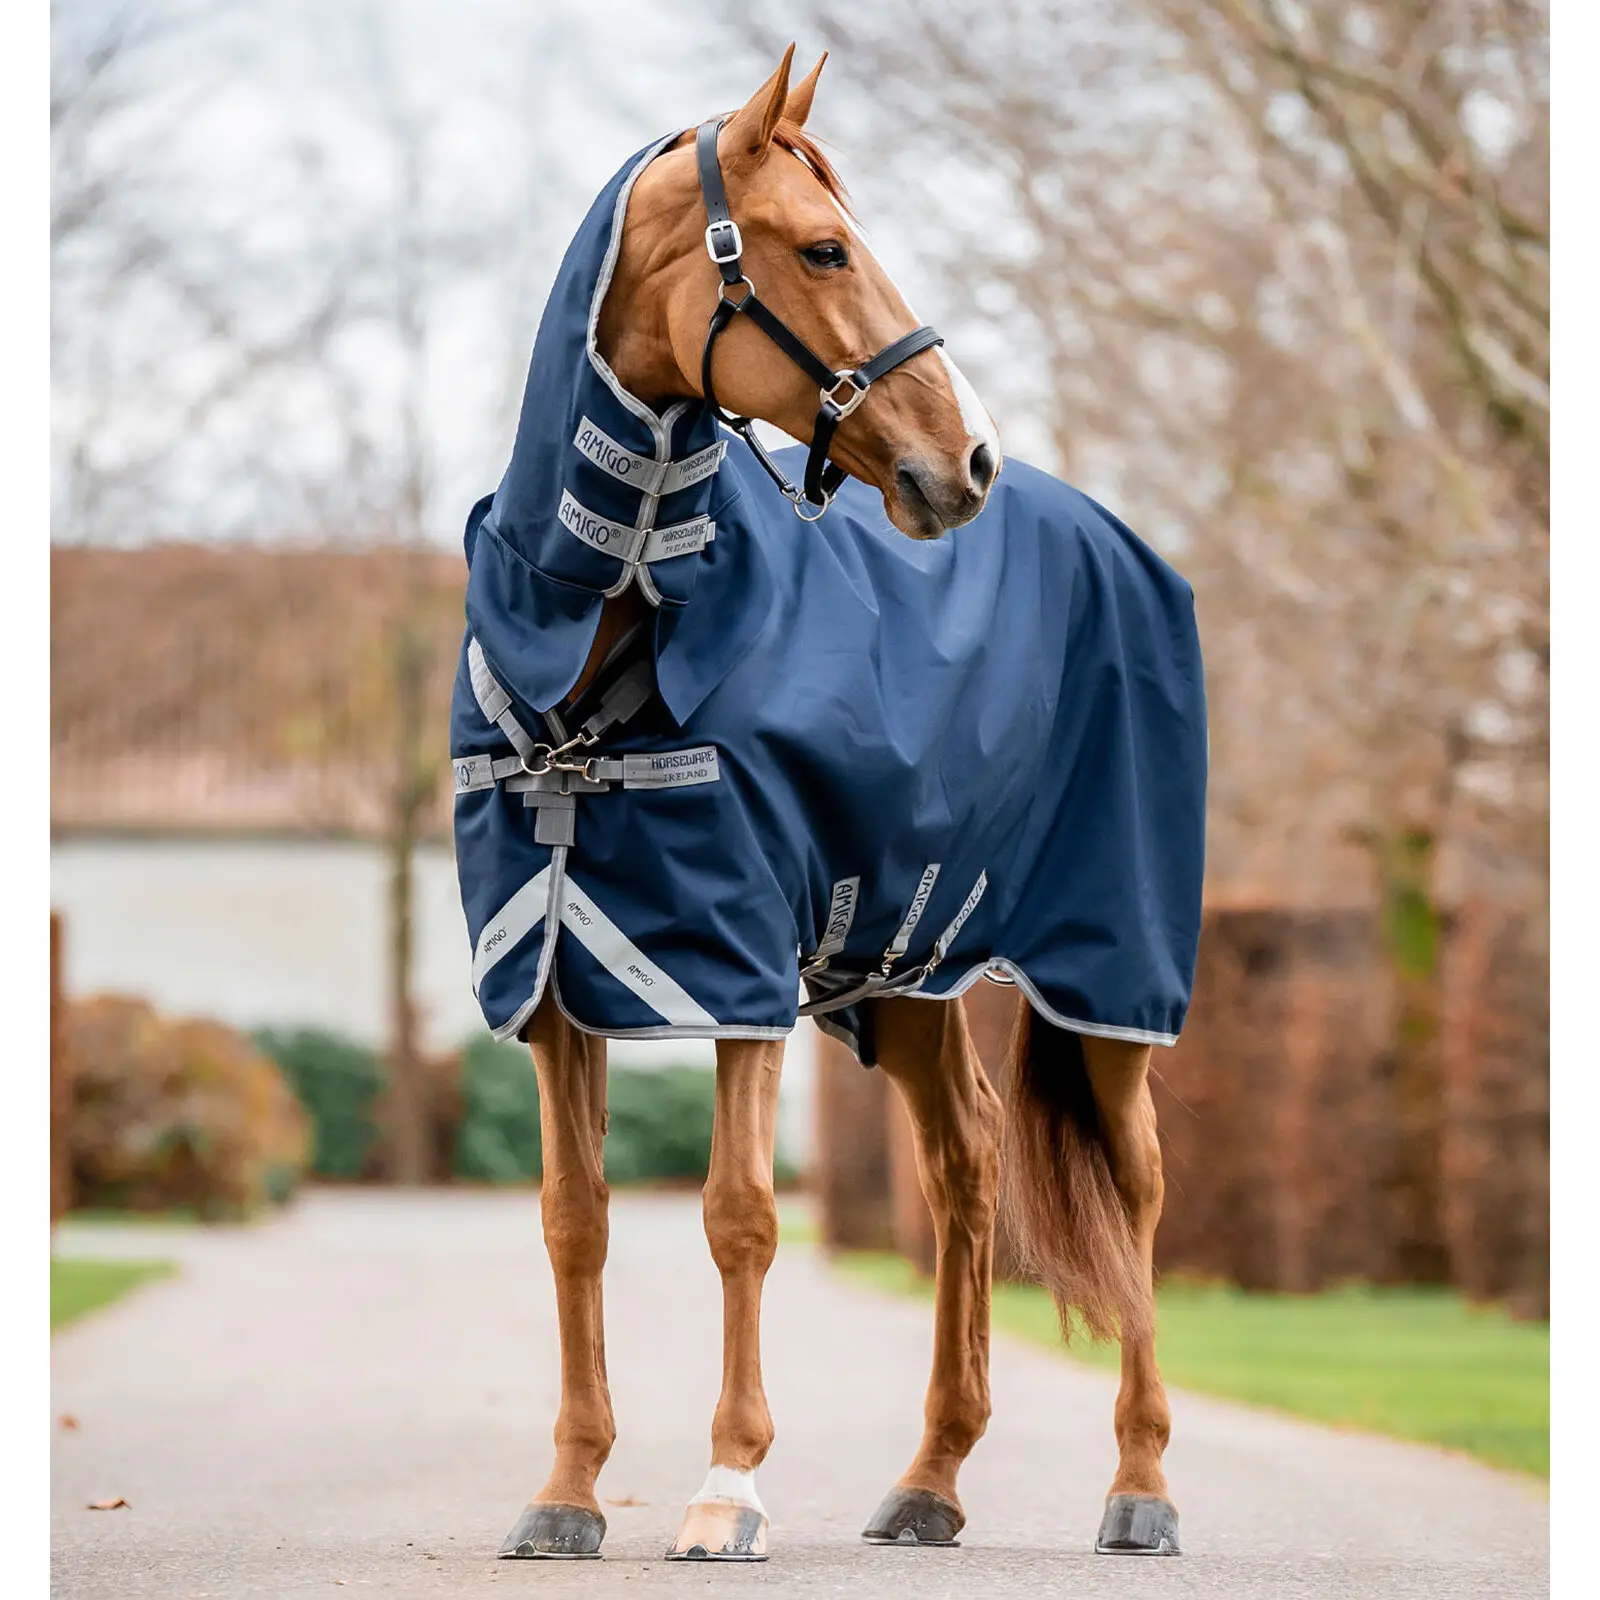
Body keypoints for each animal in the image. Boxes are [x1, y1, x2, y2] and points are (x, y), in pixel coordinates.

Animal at [450, 46, 1205, 1563]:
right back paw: (932, 1478)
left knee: (1140, 1184)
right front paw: (567, 1491)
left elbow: (741, 1214)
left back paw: (1142, 1485)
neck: (611, 634)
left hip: (1113, 970)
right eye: (823, 248)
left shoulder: (738, 965)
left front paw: (726, 1487)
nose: (965, 465)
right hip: (904, 969)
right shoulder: (555, 977)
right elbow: (574, 1220)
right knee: (969, 1162)